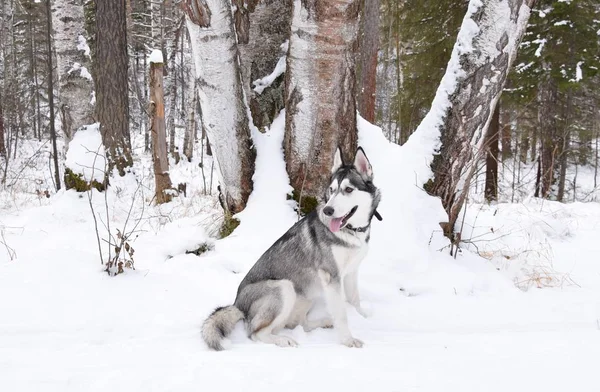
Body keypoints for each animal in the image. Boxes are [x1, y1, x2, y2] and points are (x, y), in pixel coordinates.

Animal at [202, 146, 380, 350]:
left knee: (299, 323)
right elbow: (342, 314)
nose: (328, 210)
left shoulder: (351, 272)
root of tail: (237, 304)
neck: (351, 231)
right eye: (332, 190)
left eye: (348, 189)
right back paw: (282, 340)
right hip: (284, 287)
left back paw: (323, 322)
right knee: (256, 333)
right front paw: (347, 340)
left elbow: (354, 300)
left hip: (307, 293)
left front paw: (362, 317)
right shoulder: (331, 277)